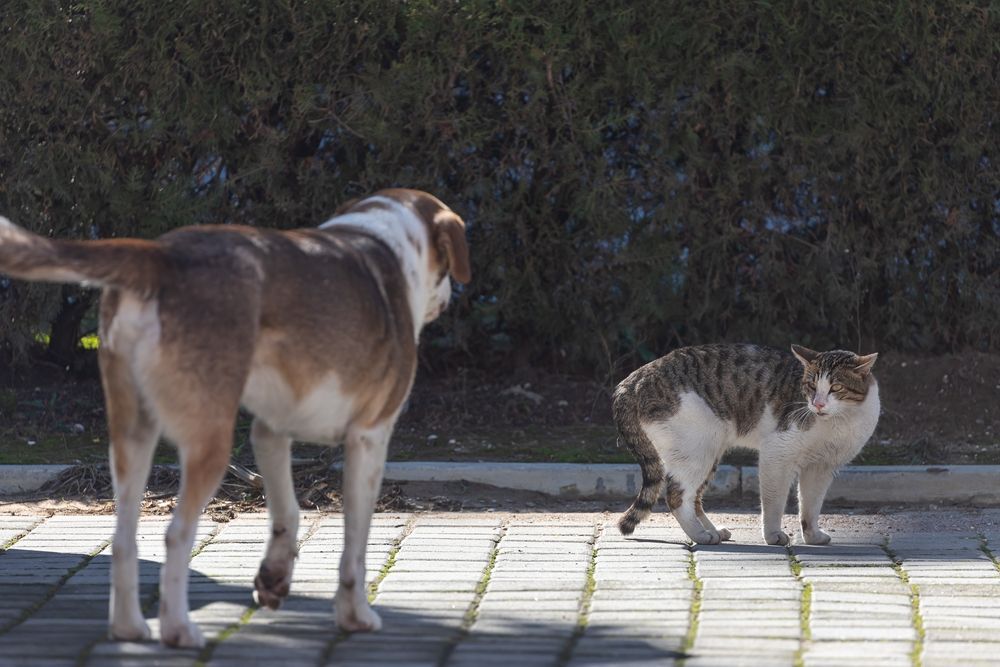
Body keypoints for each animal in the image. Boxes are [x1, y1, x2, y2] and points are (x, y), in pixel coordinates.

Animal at [0, 188, 472, 648]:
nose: (450, 298)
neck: (387, 239)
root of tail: (160, 254)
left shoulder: (270, 433)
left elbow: (288, 512)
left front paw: (274, 578)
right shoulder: (369, 438)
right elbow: (354, 547)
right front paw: (355, 616)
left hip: (132, 437)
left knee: (122, 539)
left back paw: (130, 628)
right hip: (210, 442)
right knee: (176, 534)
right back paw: (179, 631)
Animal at [612, 348, 880, 544]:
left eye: (836, 388)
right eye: (811, 386)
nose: (818, 404)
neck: (839, 421)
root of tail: (631, 379)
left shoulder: (821, 468)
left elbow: (810, 506)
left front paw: (812, 536)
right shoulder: (776, 453)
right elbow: (774, 502)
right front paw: (773, 535)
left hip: (710, 451)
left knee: (694, 498)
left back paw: (712, 531)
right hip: (698, 449)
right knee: (677, 496)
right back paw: (700, 535)